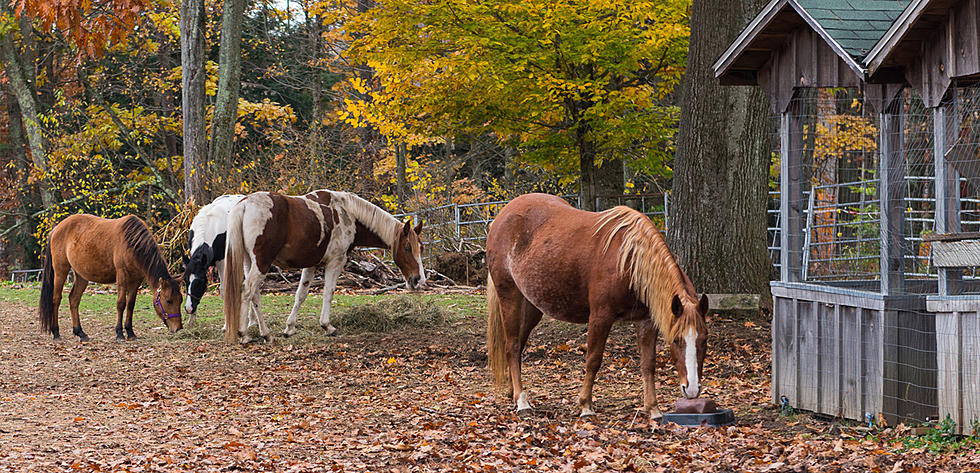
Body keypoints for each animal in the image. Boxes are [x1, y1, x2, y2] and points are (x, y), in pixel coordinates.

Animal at [39, 213, 185, 340]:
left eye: (181, 300)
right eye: (168, 301)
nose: (178, 328)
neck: (131, 242)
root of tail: (57, 228)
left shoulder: (136, 280)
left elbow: (130, 305)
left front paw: (130, 332)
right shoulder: (122, 276)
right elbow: (121, 303)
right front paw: (119, 333)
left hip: (81, 275)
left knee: (74, 299)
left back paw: (80, 332)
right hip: (60, 271)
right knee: (56, 299)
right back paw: (56, 333)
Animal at [226, 189, 424, 342]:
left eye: (421, 247)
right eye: (407, 248)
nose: (418, 279)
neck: (348, 213)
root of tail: (245, 204)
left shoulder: (311, 265)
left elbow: (301, 295)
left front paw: (290, 328)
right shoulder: (335, 262)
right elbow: (328, 292)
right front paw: (327, 326)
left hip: (250, 262)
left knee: (255, 295)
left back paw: (265, 334)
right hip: (262, 263)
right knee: (247, 290)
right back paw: (245, 334)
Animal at [486, 194, 708, 418]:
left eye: (704, 340)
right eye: (676, 340)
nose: (691, 390)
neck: (629, 261)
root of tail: (501, 218)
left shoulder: (647, 321)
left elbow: (648, 364)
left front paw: (653, 408)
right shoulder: (601, 316)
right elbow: (593, 360)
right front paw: (585, 405)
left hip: (532, 305)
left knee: (518, 345)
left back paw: (513, 392)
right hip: (509, 295)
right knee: (512, 346)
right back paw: (522, 401)